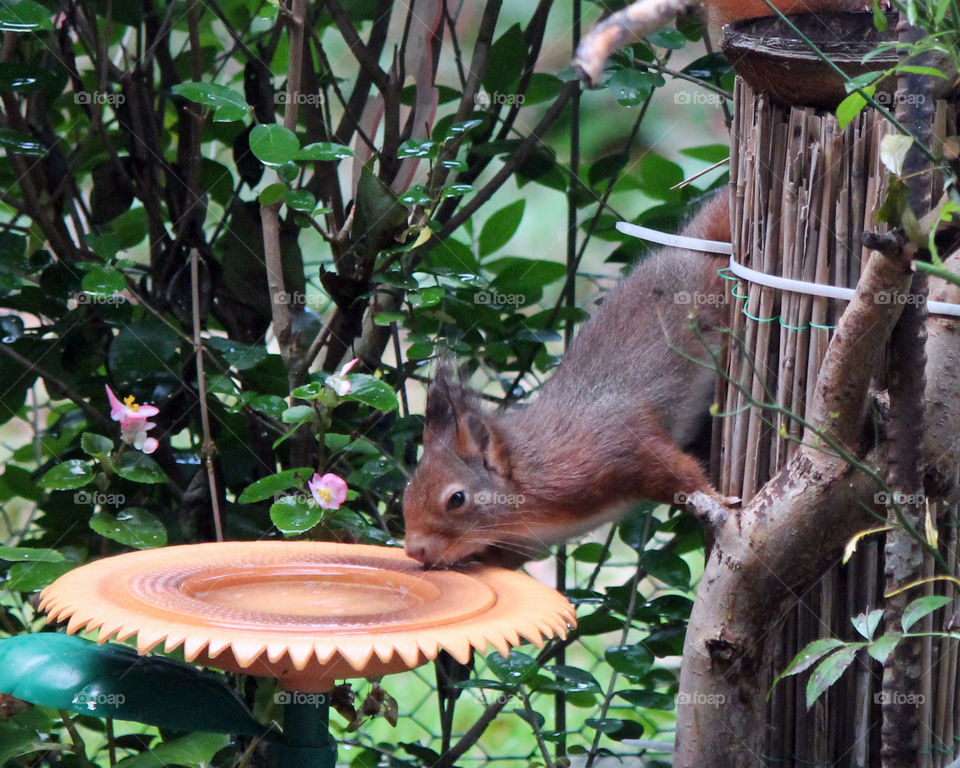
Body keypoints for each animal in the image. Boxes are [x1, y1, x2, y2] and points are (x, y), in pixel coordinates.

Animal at [402, 189, 732, 568]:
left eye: (457, 499)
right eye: (406, 492)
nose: (413, 549)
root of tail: (691, 245)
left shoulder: (618, 446)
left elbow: (675, 471)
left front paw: (716, 499)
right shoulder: (525, 542)